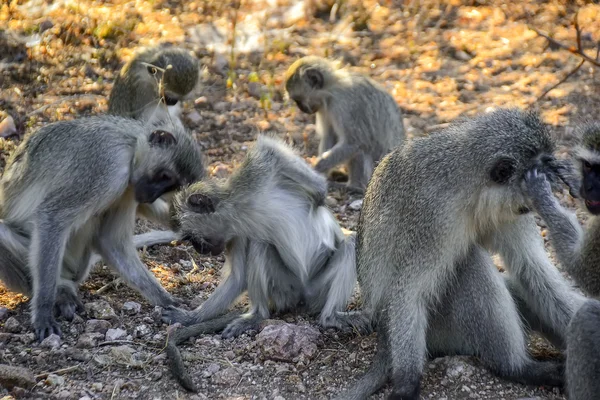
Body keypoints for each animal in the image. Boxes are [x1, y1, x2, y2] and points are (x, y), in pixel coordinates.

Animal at [0, 115, 204, 340]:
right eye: (165, 176)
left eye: (171, 185)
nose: (150, 196)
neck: (131, 145)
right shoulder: (107, 165)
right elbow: (53, 217)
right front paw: (43, 311)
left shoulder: (128, 187)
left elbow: (110, 241)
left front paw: (166, 300)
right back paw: (61, 291)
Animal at [284, 56, 406, 194]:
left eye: (298, 100)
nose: (303, 109)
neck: (332, 89)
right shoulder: (325, 109)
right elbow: (330, 136)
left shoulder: (345, 104)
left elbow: (355, 141)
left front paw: (318, 168)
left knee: (360, 148)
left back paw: (355, 187)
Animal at [338, 109, 584, 400]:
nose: (542, 200)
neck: (470, 189)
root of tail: (384, 340)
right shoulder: (433, 218)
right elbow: (409, 290)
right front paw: (406, 384)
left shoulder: (505, 213)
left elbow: (532, 269)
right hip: (439, 332)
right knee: (469, 263)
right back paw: (518, 368)